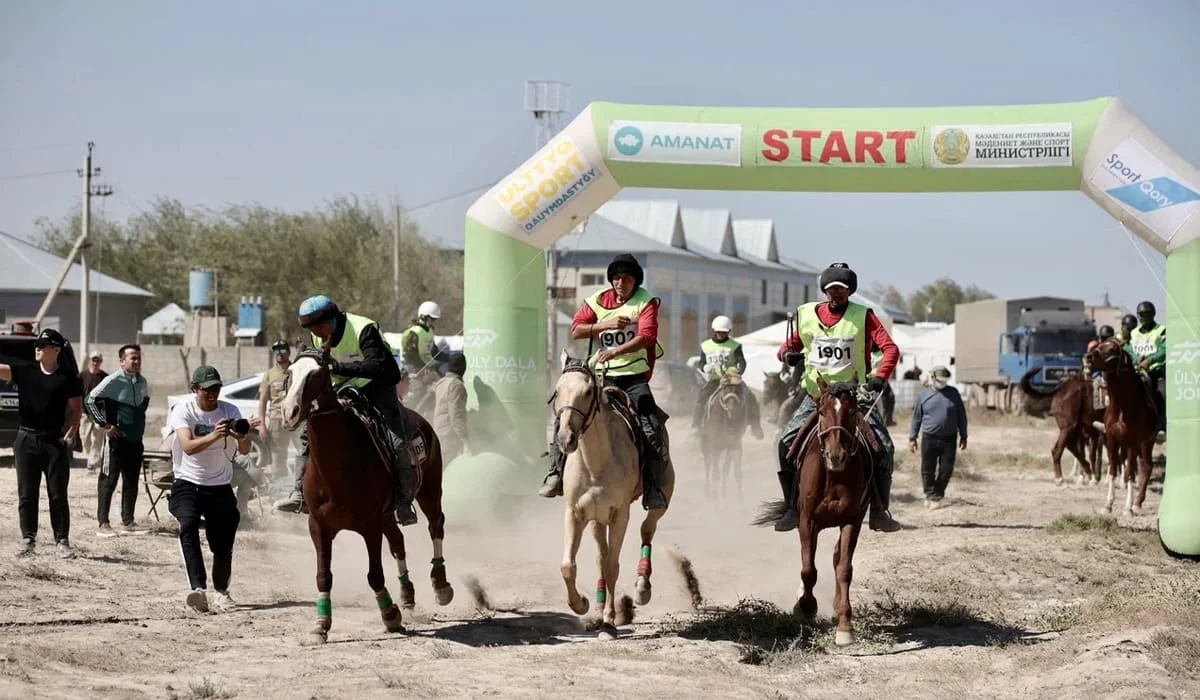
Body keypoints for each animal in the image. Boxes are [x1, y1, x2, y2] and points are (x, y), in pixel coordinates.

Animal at [278, 350, 456, 648]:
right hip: (388, 514)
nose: (289, 411)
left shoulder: (370, 525)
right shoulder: (318, 526)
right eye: (289, 373)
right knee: (398, 542)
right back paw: (407, 595)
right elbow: (323, 576)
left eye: (317, 374)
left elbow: (374, 575)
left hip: (429, 491)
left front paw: (390, 615)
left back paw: (441, 585)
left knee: (436, 526)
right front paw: (320, 625)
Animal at [552, 353, 676, 638]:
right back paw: (597, 611)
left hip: (661, 500)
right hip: (597, 519)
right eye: (557, 391)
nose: (565, 439)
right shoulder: (575, 513)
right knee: (601, 555)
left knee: (646, 530)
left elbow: (612, 567)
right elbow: (568, 566)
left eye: (588, 392)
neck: (596, 463)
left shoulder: (620, 515)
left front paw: (609, 623)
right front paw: (582, 605)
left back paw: (642, 587)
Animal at [700, 369, 744, 501]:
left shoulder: (734, 445)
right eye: (725, 389)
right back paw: (708, 492)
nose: (731, 410)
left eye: (739, 389)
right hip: (706, 446)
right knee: (708, 465)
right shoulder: (714, 444)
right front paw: (715, 500)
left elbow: (733, 472)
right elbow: (716, 473)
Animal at [748, 374, 873, 648]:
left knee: (837, 558)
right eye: (822, 411)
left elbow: (844, 568)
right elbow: (808, 570)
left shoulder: (852, 520)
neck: (834, 475)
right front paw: (805, 607)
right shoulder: (807, 521)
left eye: (852, 411)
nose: (836, 455)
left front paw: (845, 626)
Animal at [1084, 338, 1156, 513]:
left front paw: (1128, 508)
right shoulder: (1112, 440)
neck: (1123, 406)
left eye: (1111, 349)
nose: (1088, 358)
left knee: (1146, 466)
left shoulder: (1133, 443)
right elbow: (1112, 470)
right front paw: (1108, 505)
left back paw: (1137, 503)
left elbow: (1130, 472)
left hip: (1147, 442)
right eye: (1099, 345)